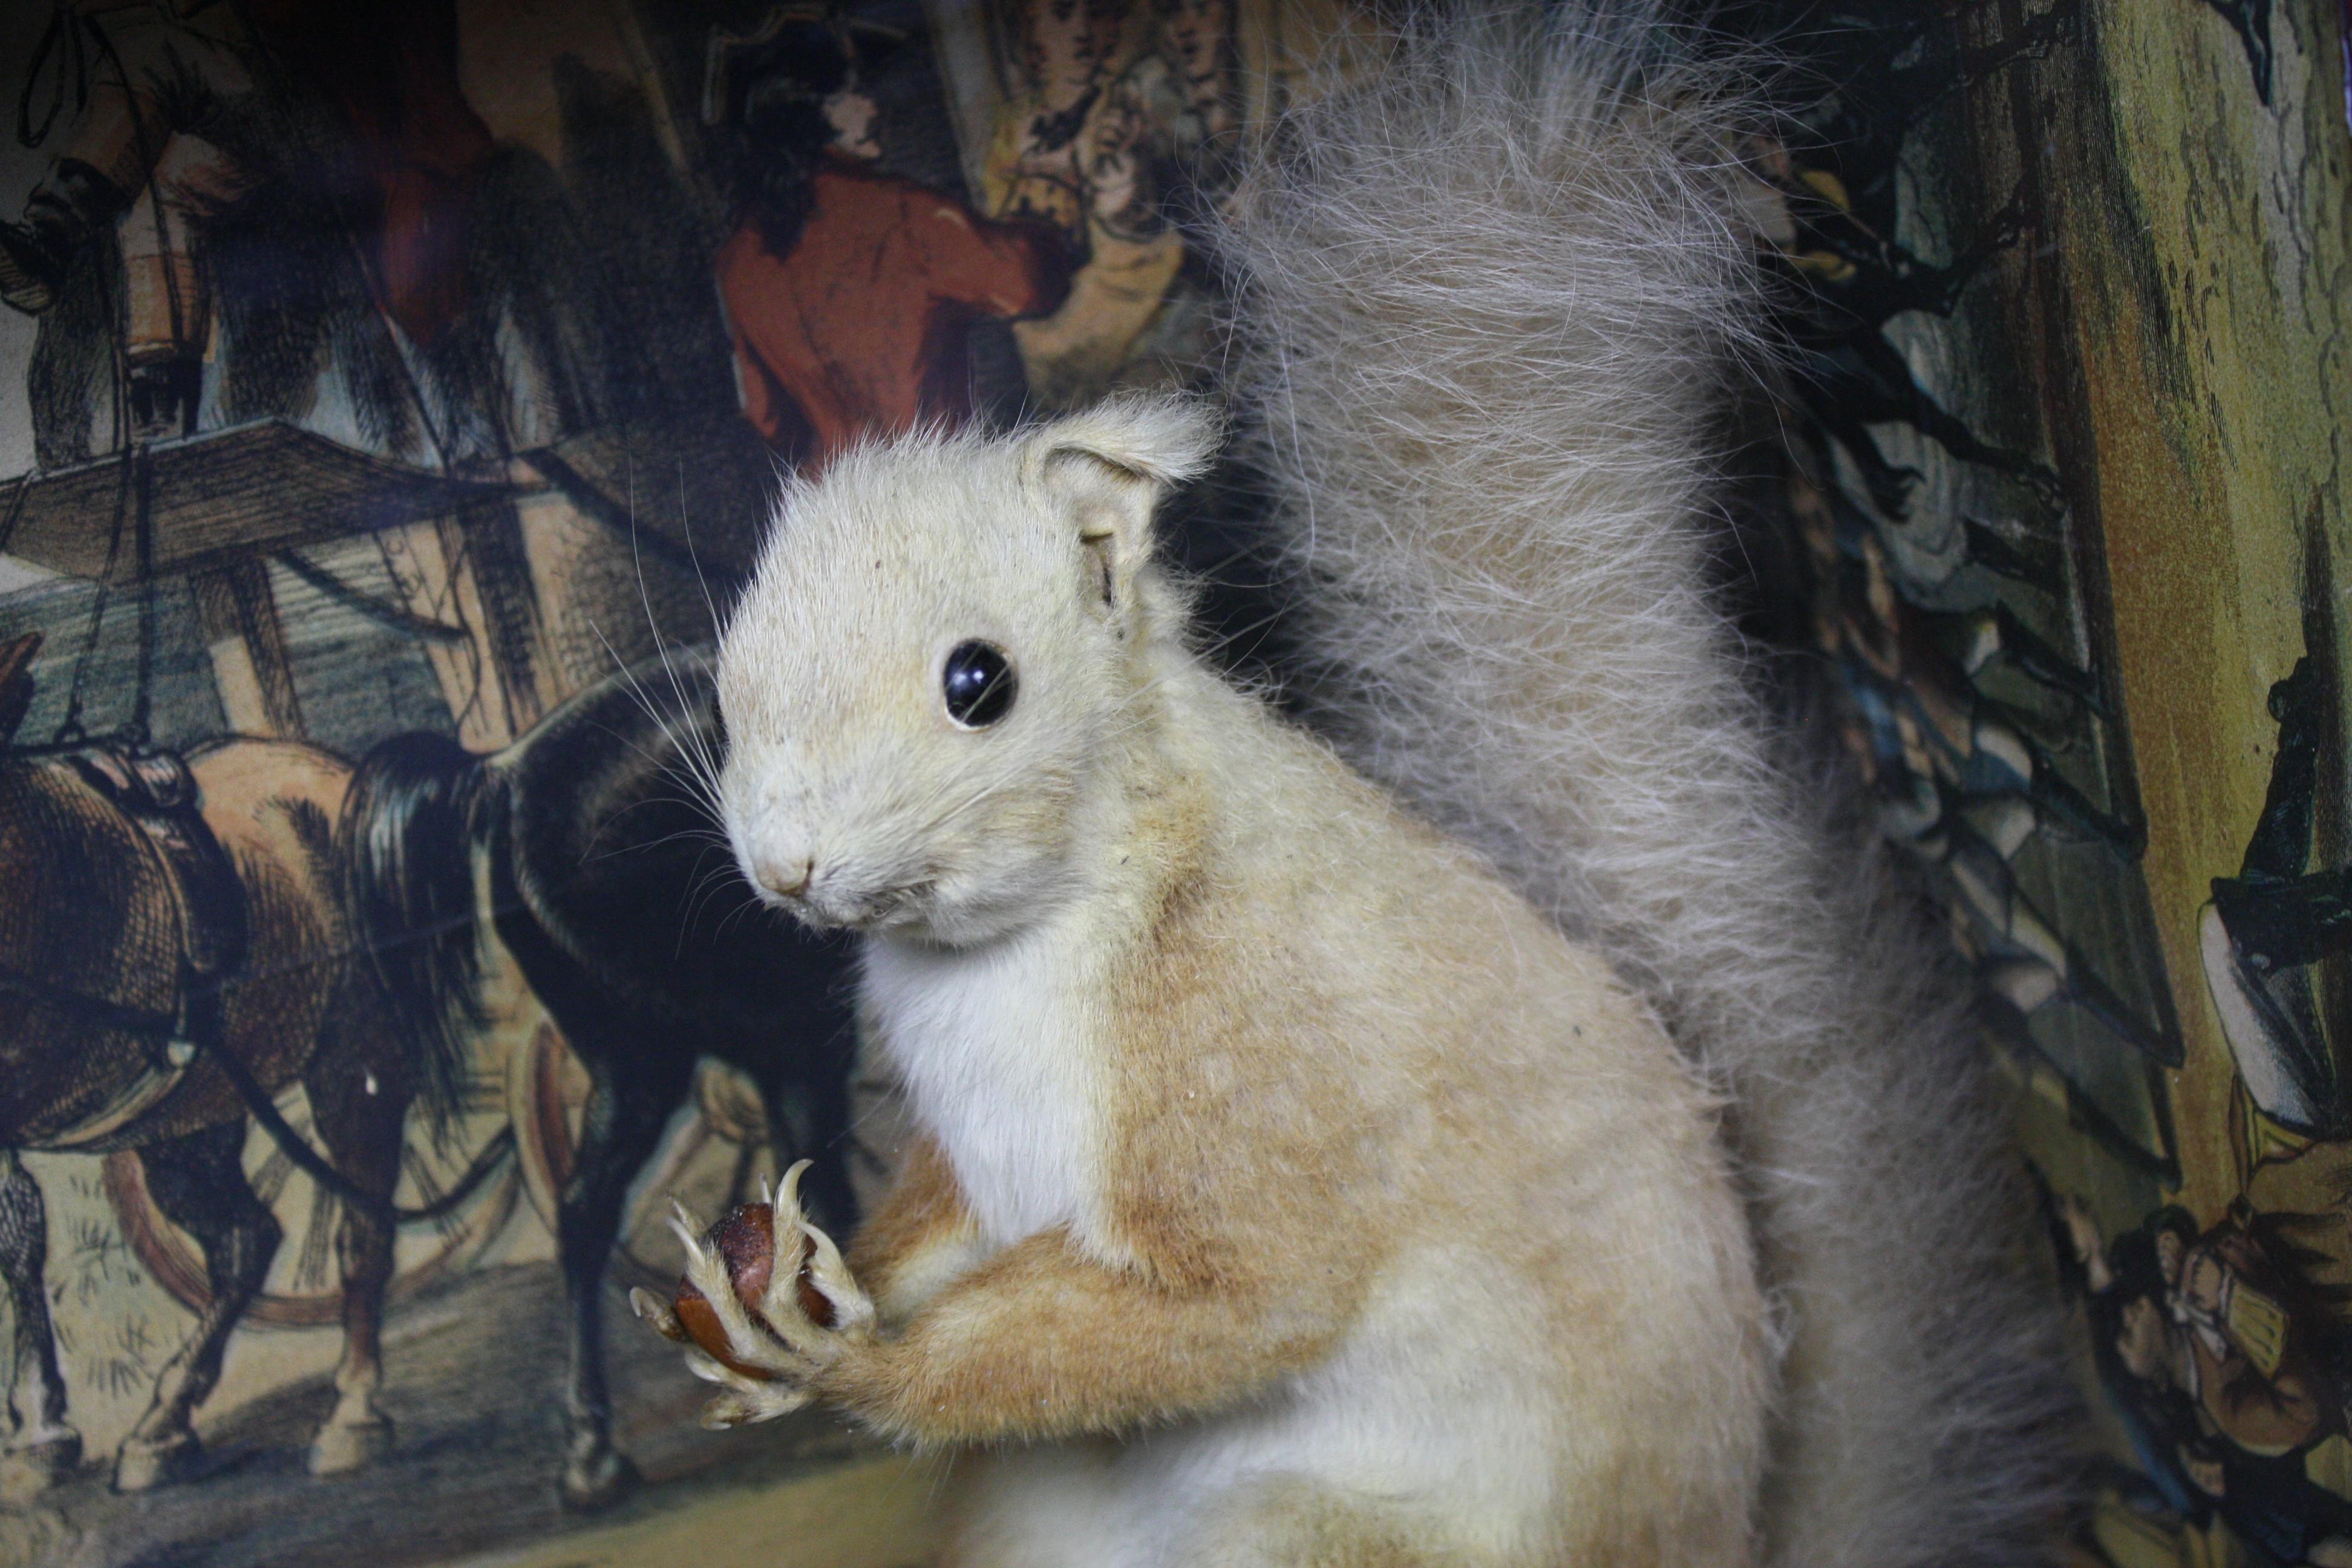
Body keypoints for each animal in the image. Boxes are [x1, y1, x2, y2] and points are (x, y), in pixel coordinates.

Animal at [639, 6, 2079, 1561]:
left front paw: (846, 1359)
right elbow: (927, 1220)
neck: (1000, 953)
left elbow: (1235, 1300)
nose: (785, 865)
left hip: (1309, 1532)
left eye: (981, 682)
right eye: (732, 669)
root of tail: (1728, 1538)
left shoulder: (1262, 1068)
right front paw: (773, 1287)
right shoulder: (967, 1160)